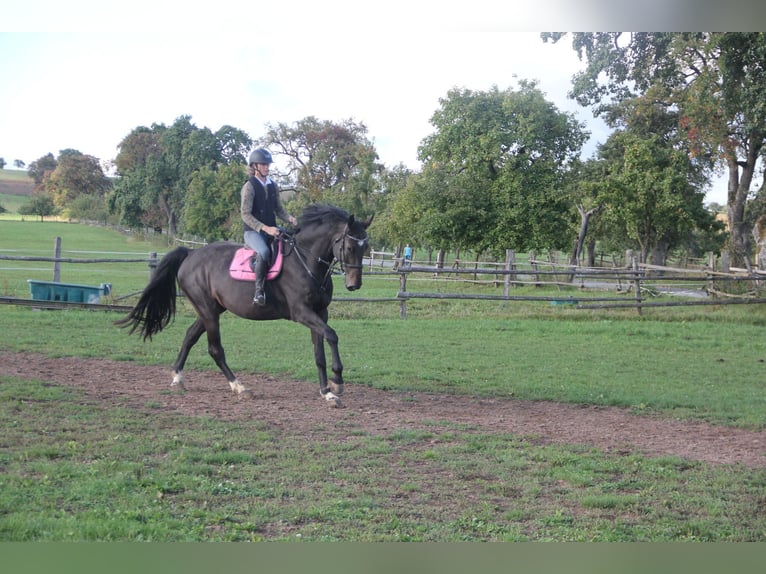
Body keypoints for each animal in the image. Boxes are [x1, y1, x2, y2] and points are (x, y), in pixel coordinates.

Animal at [115, 204, 373, 407]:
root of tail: (191, 253)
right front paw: (337, 382)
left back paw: (178, 378)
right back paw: (239, 387)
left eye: (365, 249)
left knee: (190, 336)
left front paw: (327, 392)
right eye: (350, 247)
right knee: (215, 349)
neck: (306, 262)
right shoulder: (302, 313)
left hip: (211, 309)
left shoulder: (320, 313)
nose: (354, 284)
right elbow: (332, 335)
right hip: (208, 310)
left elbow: (319, 353)